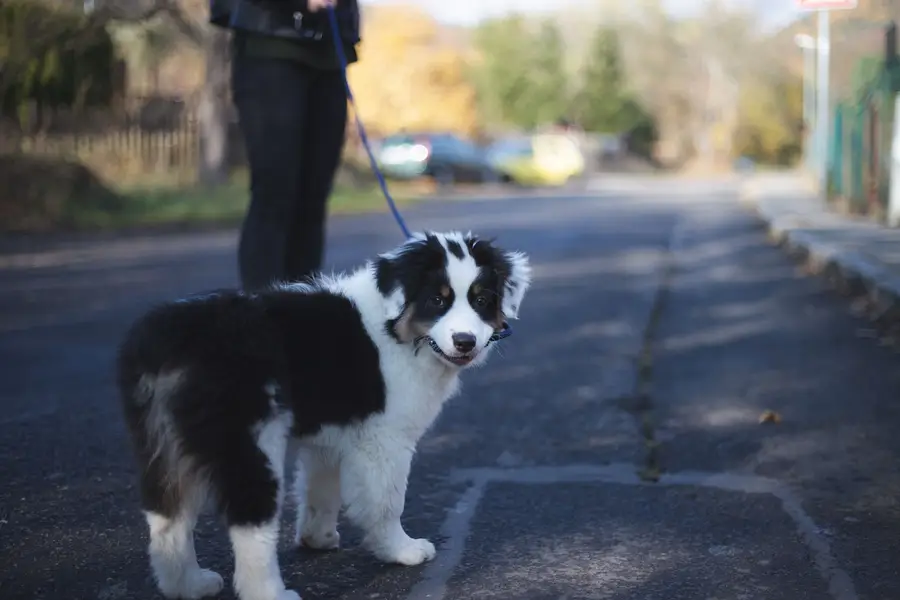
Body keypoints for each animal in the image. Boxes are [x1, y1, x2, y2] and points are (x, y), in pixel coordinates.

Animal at [116, 231, 532, 600]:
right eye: (436, 300)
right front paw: (402, 549)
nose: (465, 342)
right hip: (247, 442)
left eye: (482, 300)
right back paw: (272, 594)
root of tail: (169, 337)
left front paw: (317, 538)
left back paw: (188, 585)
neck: (395, 330)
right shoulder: (385, 438)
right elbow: (387, 501)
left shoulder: (335, 433)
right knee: (250, 524)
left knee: (166, 517)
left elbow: (321, 488)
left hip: (161, 442)